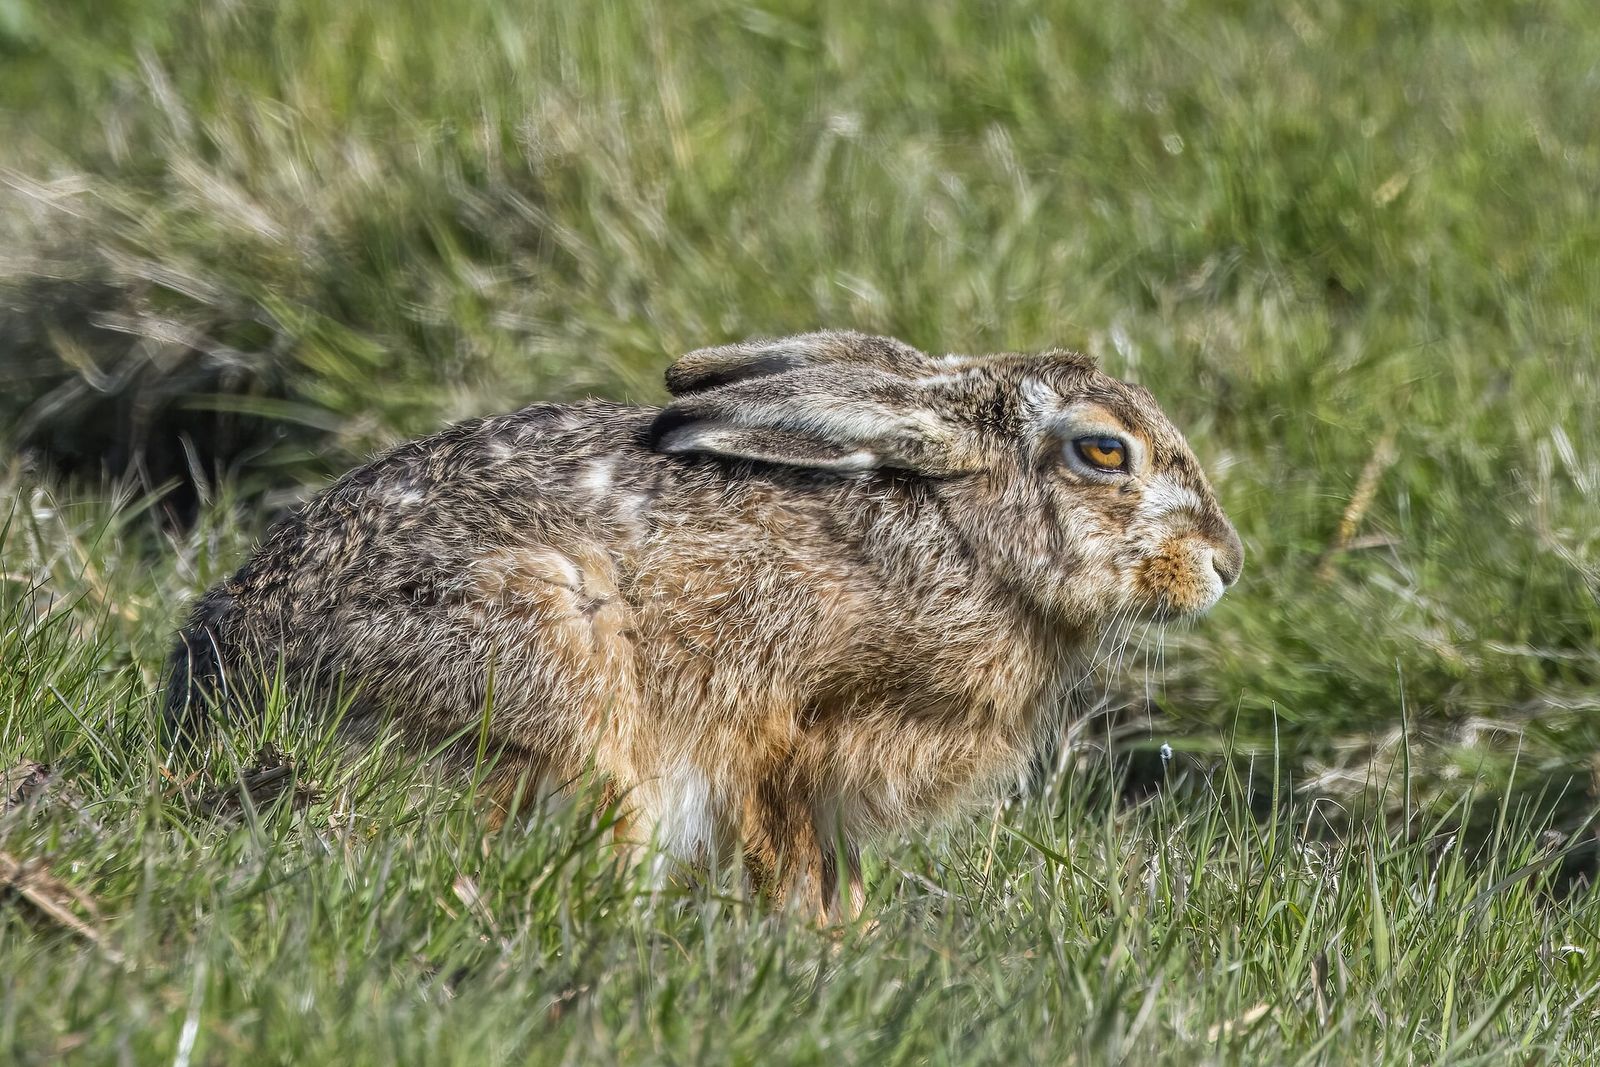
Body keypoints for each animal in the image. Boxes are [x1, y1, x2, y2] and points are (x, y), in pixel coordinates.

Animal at [165, 330, 1243, 919]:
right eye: (1104, 451)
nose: (1226, 561)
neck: (967, 538)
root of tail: (218, 688)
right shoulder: (785, 736)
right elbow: (790, 854)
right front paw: (826, 945)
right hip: (555, 676)